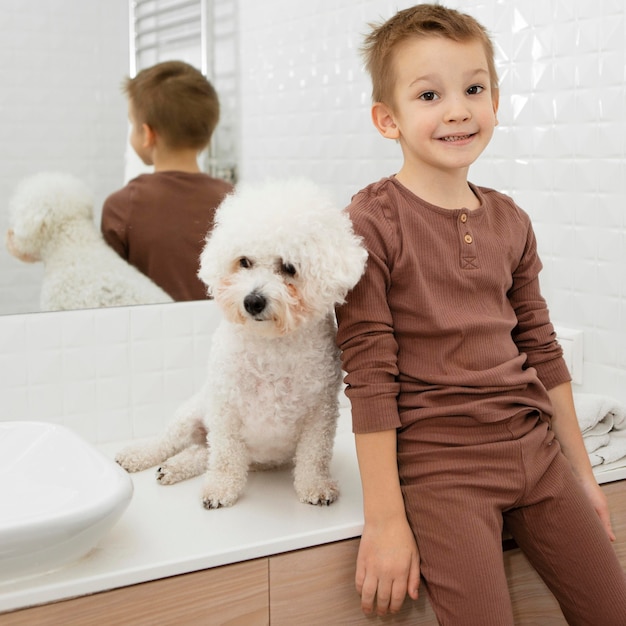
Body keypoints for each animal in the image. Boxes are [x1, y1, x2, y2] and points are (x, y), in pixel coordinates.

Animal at [117, 179, 366, 508]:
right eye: (244, 262)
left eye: (289, 267)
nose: (253, 301)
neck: (270, 345)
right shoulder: (225, 407)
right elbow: (224, 457)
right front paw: (221, 488)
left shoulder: (320, 412)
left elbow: (314, 456)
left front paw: (316, 486)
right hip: (192, 414)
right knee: (172, 441)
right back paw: (139, 455)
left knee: (202, 453)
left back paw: (173, 467)